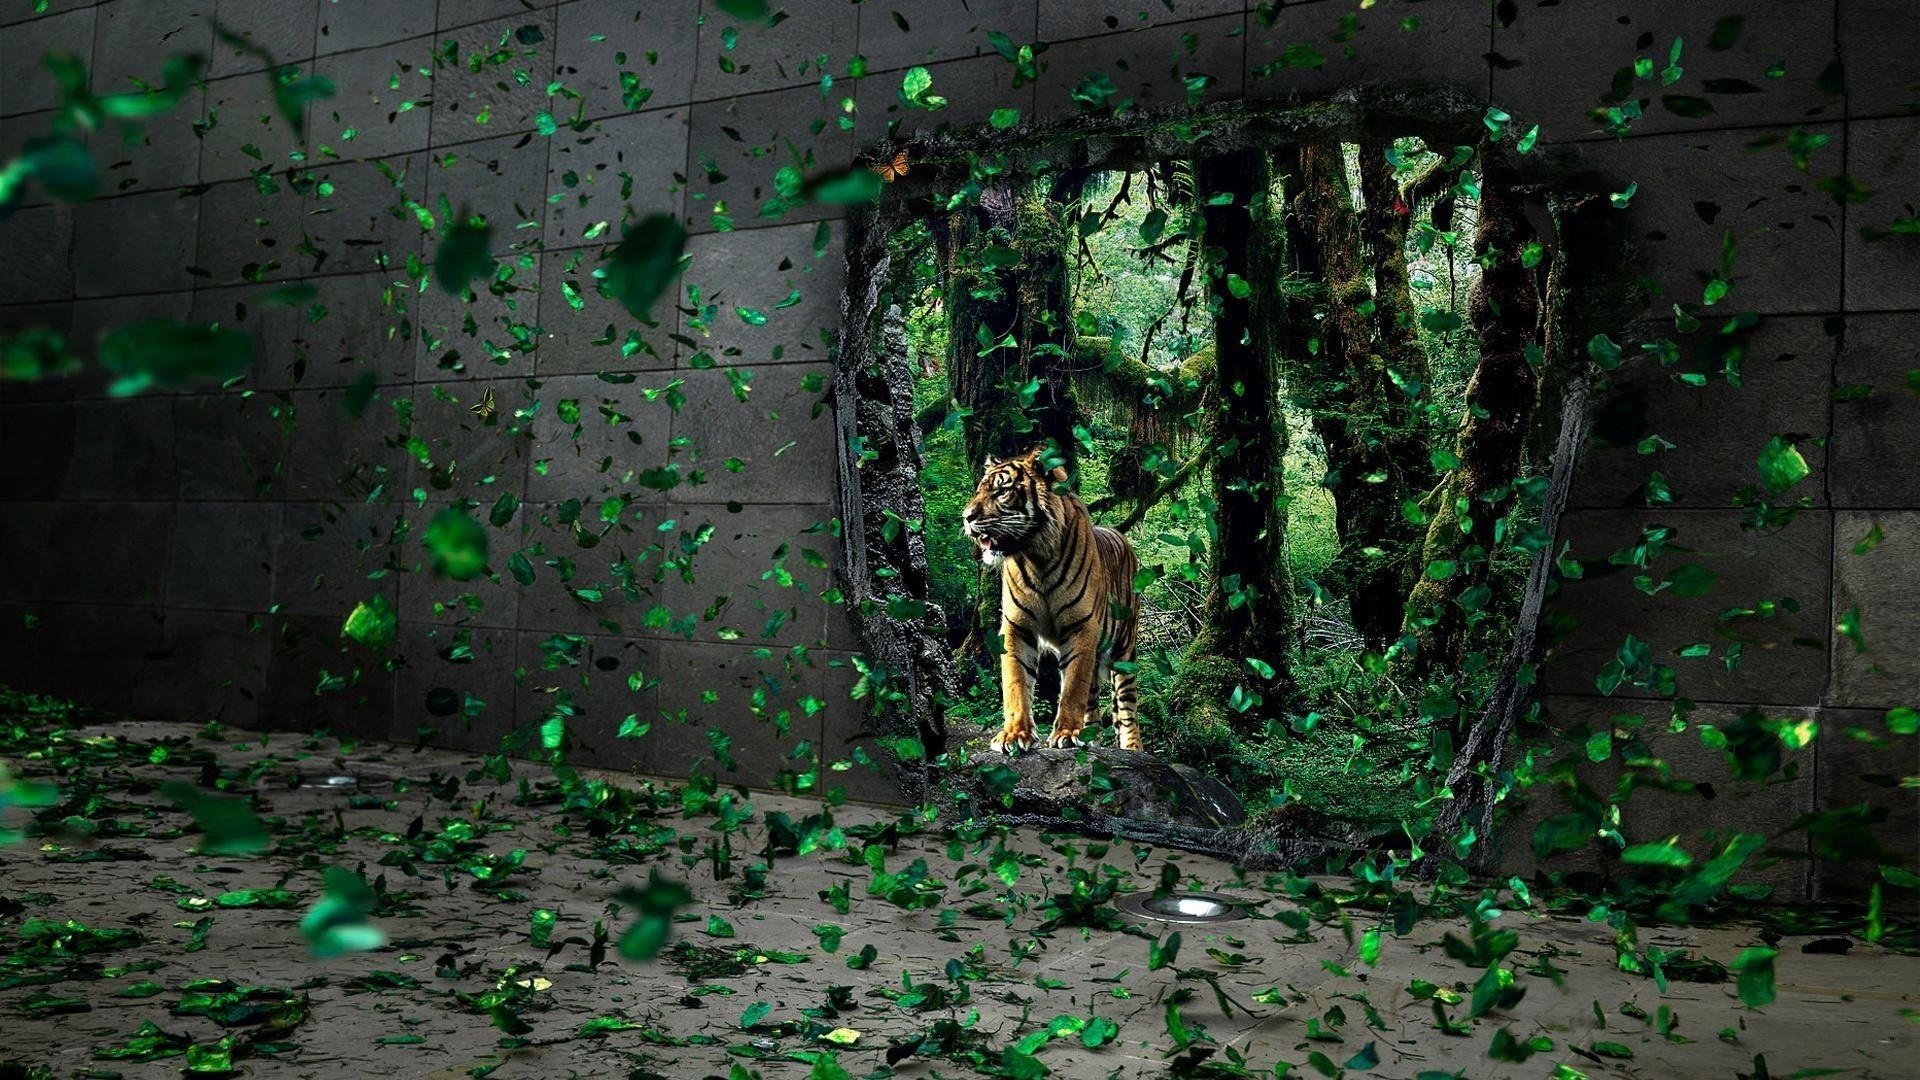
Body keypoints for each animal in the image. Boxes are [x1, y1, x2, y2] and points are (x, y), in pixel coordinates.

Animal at [961, 446, 1143, 753]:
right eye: (979, 490)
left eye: (1002, 491)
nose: (966, 517)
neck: (1037, 557)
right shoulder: (1016, 627)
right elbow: (1016, 682)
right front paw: (1014, 734)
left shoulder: (1081, 626)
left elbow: (1073, 687)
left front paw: (1067, 733)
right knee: (1093, 700)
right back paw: (1091, 736)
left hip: (1125, 650)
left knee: (1127, 707)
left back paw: (1131, 748)